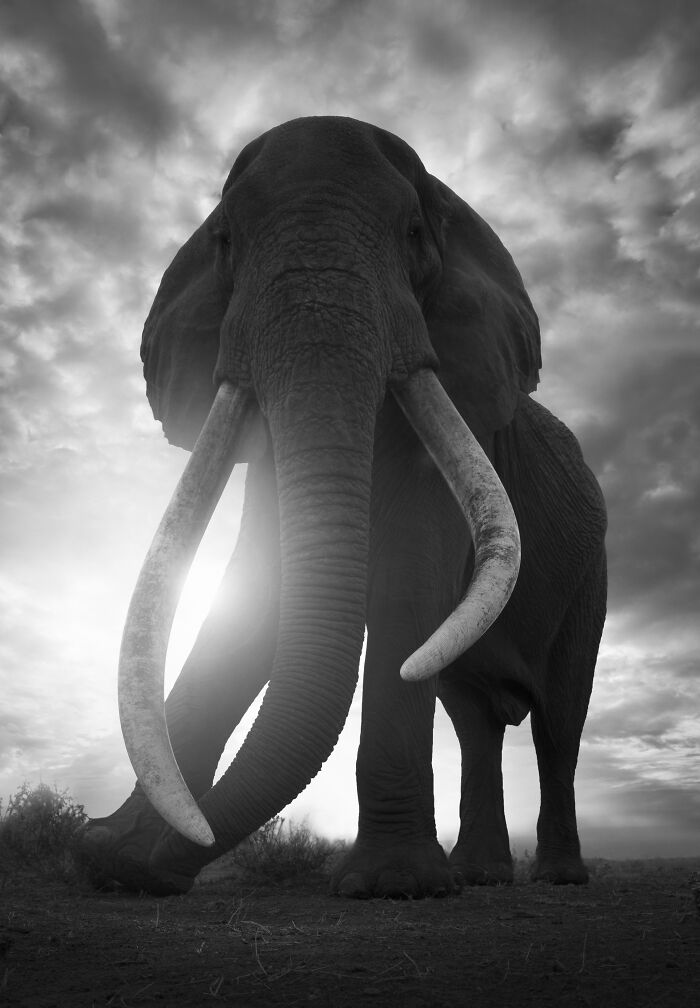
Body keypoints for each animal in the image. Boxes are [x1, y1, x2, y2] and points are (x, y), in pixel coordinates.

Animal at [82, 116, 607, 899]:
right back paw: (480, 877)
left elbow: (410, 578)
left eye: (415, 234)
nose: (184, 853)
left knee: (558, 720)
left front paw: (393, 886)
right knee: (475, 719)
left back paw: (559, 880)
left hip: (591, 572)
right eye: (224, 240)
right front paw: (116, 862)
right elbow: (263, 591)